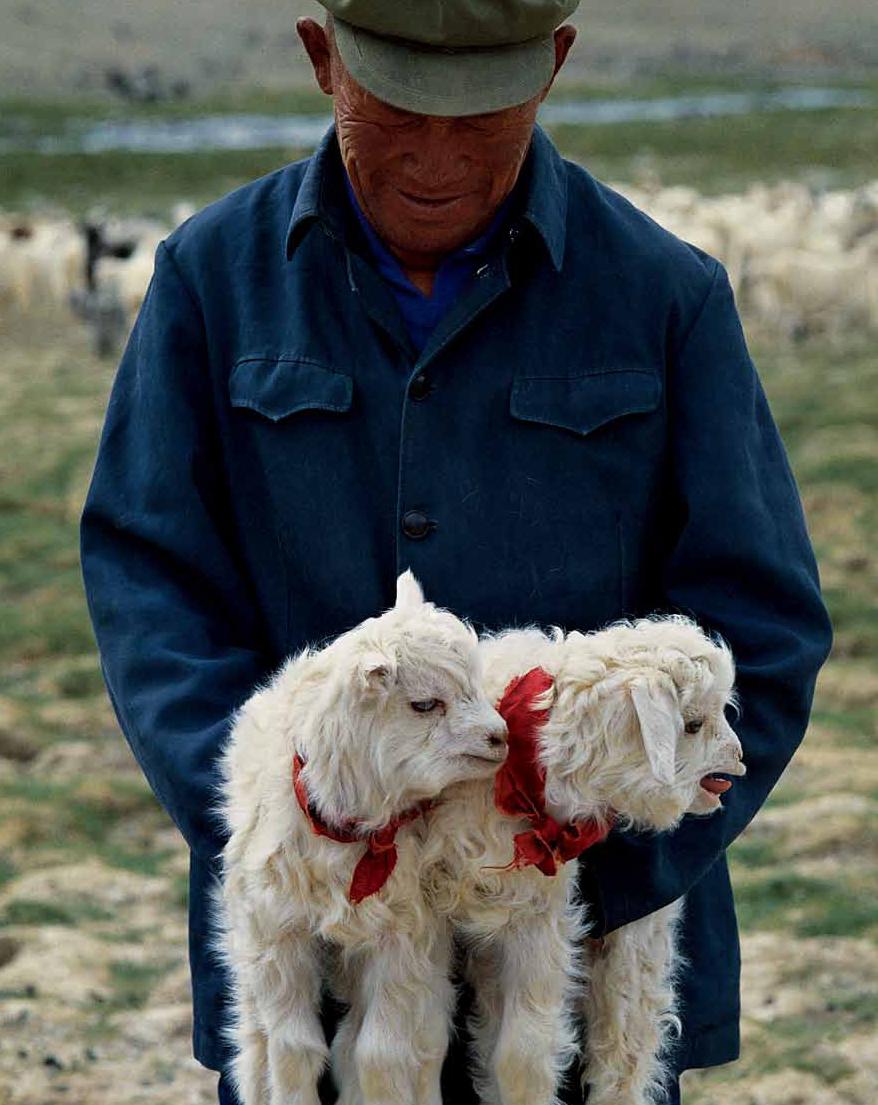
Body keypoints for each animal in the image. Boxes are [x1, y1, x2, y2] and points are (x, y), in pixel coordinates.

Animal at [209, 570, 508, 1105]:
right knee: (257, 1037)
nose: (501, 736)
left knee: (401, 1041)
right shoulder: (280, 931)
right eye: (425, 704)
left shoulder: (401, 937)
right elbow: (293, 1048)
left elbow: (380, 1053)